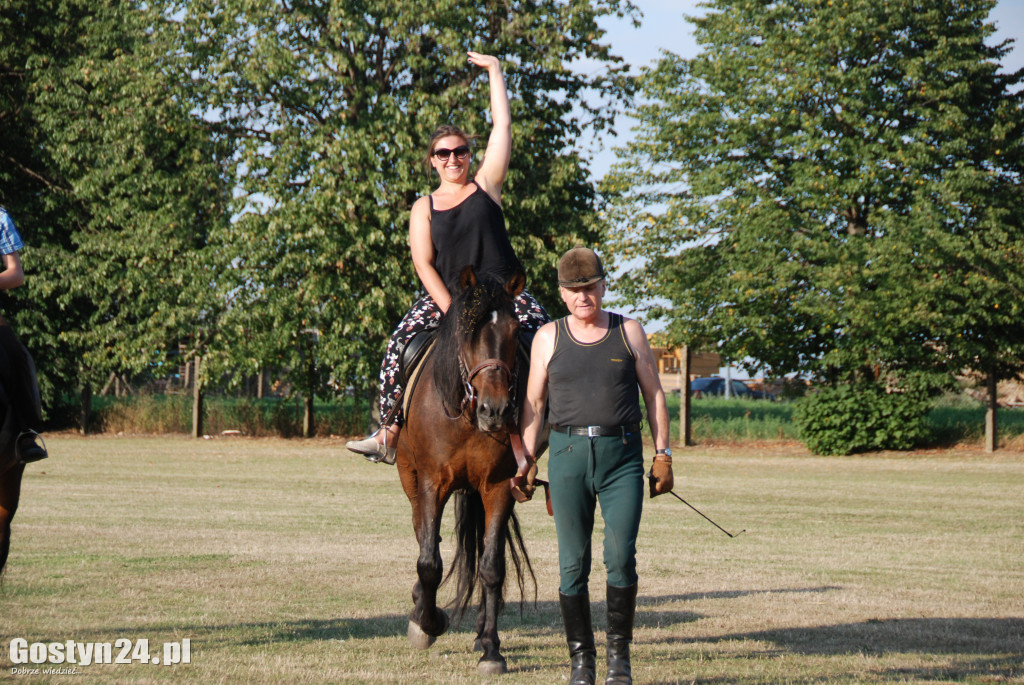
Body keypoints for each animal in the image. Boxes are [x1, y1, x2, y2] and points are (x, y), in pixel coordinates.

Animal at [393, 266, 532, 671]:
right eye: (466, 332)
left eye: (515, 332)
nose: (495, 410)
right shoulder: (432, 483)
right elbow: (429, 562)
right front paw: (428, 622)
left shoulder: (499, 487)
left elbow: (492, 567)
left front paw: (491, 649)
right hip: (410, 477)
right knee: (423, 534)